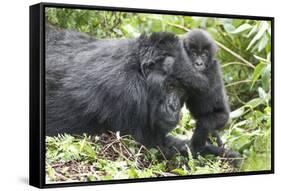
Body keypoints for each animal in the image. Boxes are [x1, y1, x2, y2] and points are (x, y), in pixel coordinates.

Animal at [179, 29, 238, 159]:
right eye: (194, 54)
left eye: (204, 55)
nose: (199, 63)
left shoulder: (212, 69)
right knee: (212, 132)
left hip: (222, 118)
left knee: (205, 123)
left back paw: (195, 149)